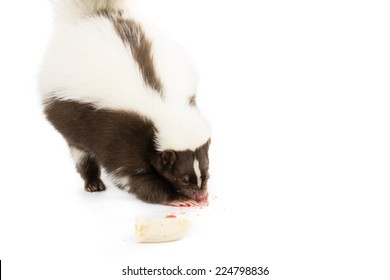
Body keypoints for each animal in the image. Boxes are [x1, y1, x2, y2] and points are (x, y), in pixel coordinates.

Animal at [39, 0, 210, 206]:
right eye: (182, 178)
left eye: (206, 172)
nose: (201, 196)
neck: (165, 108)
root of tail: (98, 16)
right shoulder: (121, 136)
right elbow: (132, 177)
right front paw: (175, 199)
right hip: (67, 116)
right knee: (80, 152)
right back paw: (93, 183)